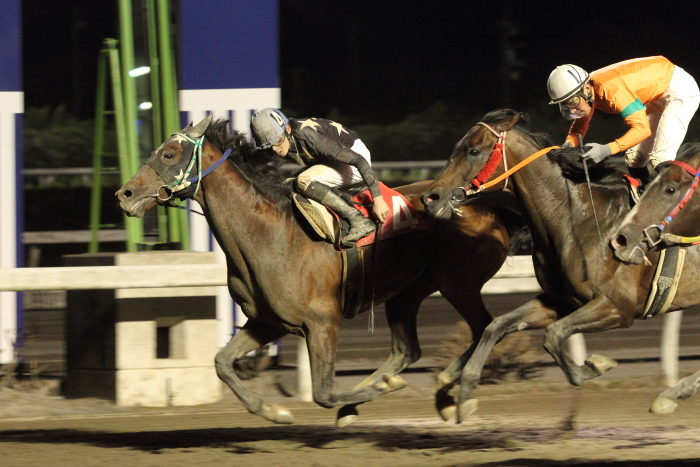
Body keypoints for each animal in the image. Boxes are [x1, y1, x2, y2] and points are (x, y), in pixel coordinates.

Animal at [113, 115, 508, 426]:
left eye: (169, 153)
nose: (124, 195)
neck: (270, 235)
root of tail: (484, 204)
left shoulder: (322, 324)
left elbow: (323, 393)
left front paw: (367, 394)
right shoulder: (267, 321)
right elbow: (222, 362)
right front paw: (274, 411)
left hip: (458, 282)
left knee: (484, 328)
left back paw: (449, 390)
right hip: (408, 291)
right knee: (408, 349)